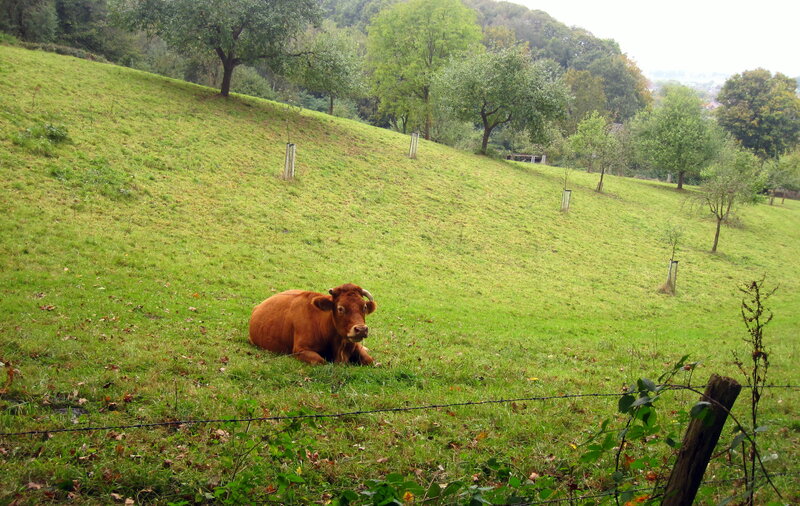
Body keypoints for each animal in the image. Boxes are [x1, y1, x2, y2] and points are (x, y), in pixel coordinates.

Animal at [248, 283, 377, 365]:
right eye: (340, 308)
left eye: (364, 307)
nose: (361, 329)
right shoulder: (300, 350)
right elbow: (321, 361)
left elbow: (370, 360)